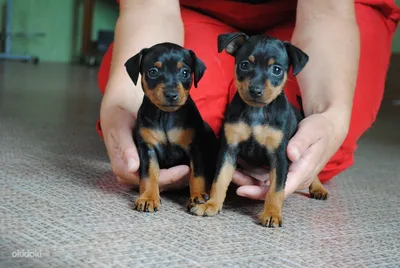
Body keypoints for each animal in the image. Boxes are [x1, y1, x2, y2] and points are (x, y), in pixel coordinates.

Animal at [125, 43, 219, 213]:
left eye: (185, 72)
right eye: (153, 72)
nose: (171, 94)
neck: (165, 116)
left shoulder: (196, 147)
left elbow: (198, 174)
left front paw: (198, 196)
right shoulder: (148, 148)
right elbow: (148, 174)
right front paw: (148, 198)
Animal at [190, 32, 328, 227]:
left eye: (276, 70)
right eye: (244, 65)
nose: (255, 90)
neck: (257, 112)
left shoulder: (279, 156)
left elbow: (276, 189)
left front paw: (272, 213)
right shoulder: (228, 150)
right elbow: (219, 180)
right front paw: (211, 205)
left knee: (315, 172)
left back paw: (318, 188)